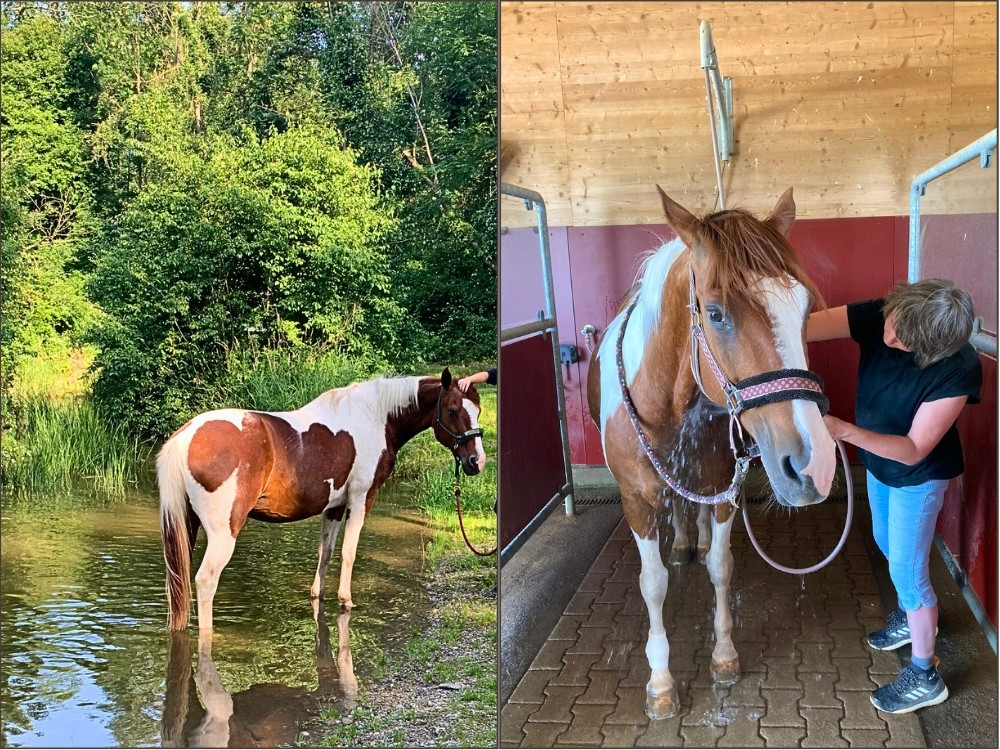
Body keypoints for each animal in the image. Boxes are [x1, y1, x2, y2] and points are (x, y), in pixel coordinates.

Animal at [158, 368, 485, 631]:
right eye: (452, 410)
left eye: (478, 410)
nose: (476, 462)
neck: (376, 417)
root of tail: (185, 437)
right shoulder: (361, 500)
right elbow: (349, 553)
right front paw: (346, 601)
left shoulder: (335, 507)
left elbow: (325, 553)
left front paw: (318, 596)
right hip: (223, 533)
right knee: (205, 580)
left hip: (188, 526)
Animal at [587, 186, 838, 720]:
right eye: (717, 314)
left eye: (805, 308)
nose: (816, 464)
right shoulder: (636, 502)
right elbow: (653, 582)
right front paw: (660, 682)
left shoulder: (726, 489)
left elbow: (722, 567)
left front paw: (724, 657)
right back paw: (683, 543)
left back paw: (695, 541)